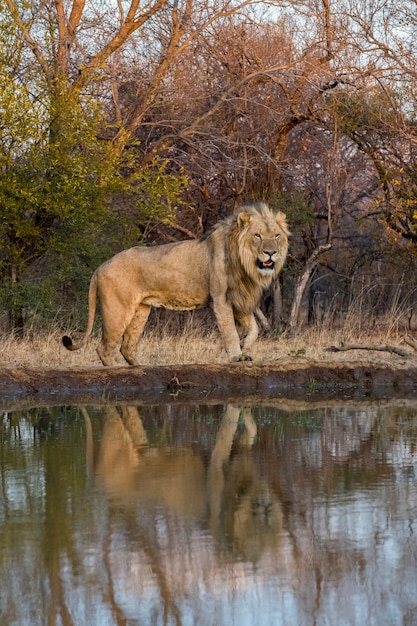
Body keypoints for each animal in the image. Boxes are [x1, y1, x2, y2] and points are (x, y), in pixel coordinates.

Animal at [62, 202, 290, 364]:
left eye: (276, 235)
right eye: (257, 235)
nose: (271, 252)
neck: (246, 265)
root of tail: (100, 267)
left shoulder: (239, 298)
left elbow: (254, 328)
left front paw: (246, 349)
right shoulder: (220, 299)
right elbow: (230, 332)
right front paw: (236, 356)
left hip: (140, 310)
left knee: (127, 347)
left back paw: (141, 368)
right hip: (117, 311)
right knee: (105, 348)